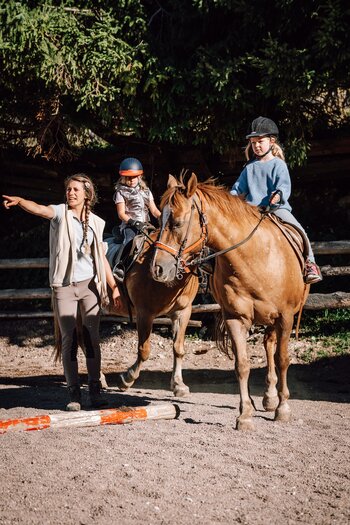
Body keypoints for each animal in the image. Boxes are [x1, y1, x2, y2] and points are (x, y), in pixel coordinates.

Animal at [108, 227, 198, 396]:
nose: (160, 270)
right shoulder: (145, 313)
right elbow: (144, 351)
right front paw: (127, 378)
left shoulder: (182, 312)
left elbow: (178, 348)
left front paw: (178, 384)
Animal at [150, 174, 308, 428]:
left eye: (177, 223)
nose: (157, 268)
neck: (254, 257)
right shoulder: (236, 318)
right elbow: (241, 365)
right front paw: (245, 414)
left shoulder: (285, 317)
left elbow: (283, 359)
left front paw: (283, 409)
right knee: (266, 345)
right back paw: (266, 398)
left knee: (271, 348)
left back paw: (273, 399)